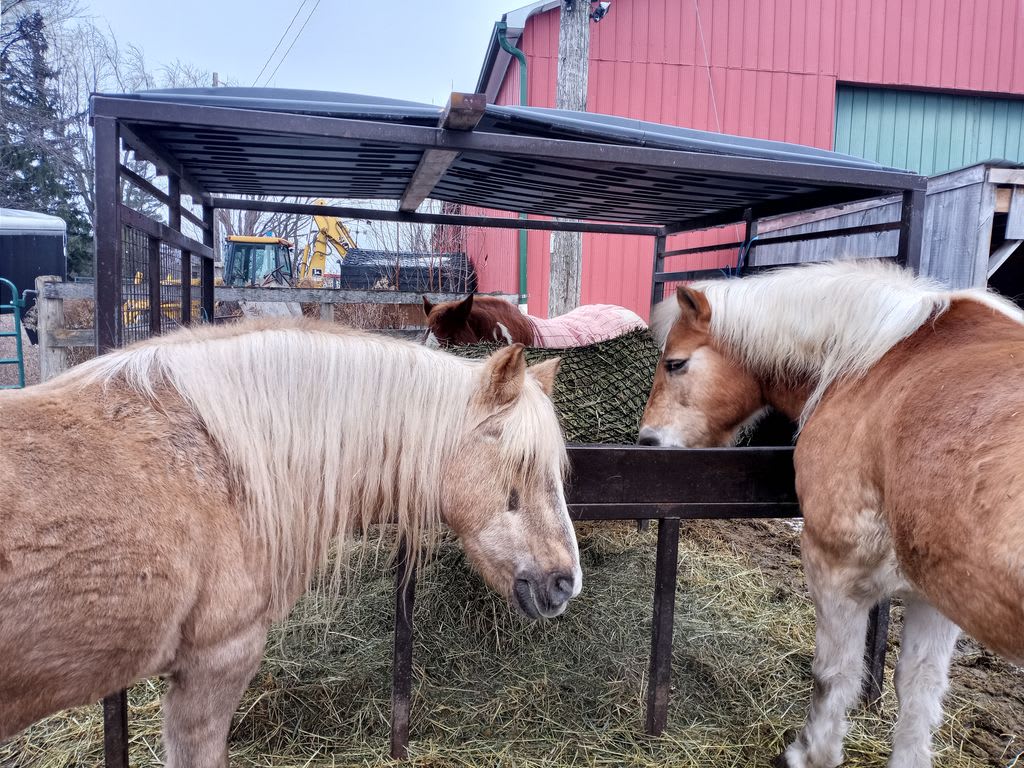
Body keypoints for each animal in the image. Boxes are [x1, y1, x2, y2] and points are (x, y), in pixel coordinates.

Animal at [638, 259, 1024, 768]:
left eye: (675, 363)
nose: (646, 442)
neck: (876, 364)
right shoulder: (937, 593)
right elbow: (918, 689)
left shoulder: (837, 565)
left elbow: (834, 676)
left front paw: (808, 752)